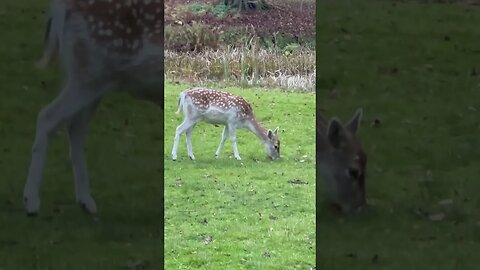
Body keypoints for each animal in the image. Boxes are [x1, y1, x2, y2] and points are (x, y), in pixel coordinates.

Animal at [23, 0, 165, 215]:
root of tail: (60, 6)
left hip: (94, 81)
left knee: (74, 127)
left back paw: (86, 202)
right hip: (90, 72)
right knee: (48, 116)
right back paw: (31, 202)